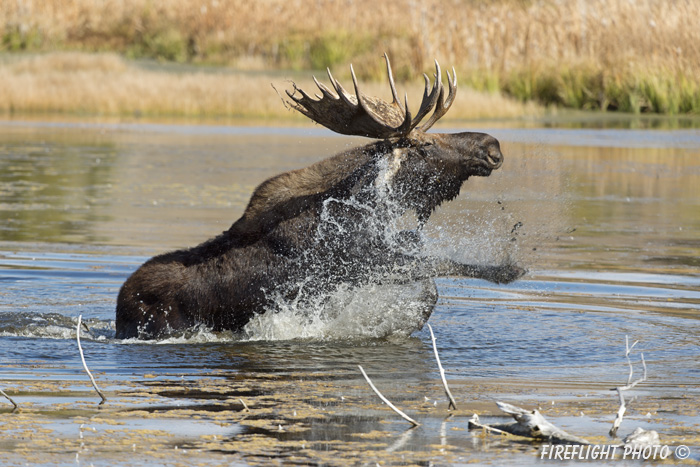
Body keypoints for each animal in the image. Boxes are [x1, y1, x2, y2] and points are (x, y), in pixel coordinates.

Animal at [115, 54, 524, 340]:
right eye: (423, 145)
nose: (492, 145)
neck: (364, 207)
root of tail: (118, 308)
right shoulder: (358, 261)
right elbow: (442, 267)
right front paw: (507, 270)